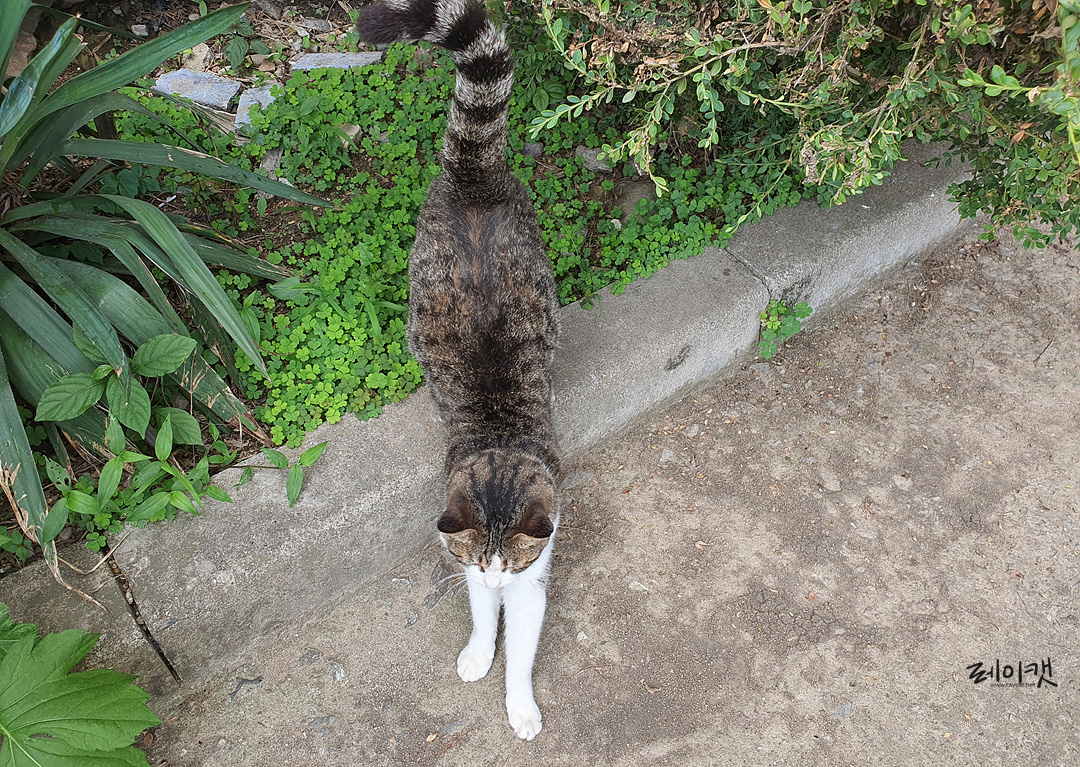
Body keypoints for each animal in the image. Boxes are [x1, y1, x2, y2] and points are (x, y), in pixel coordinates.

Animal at [356, 0, 561, 741]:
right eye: (476, 559)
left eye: (514, 560)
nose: (496, 580)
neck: (499, 439)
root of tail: (474, 175)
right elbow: (479, 618)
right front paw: (477, 652)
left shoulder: (535, 575)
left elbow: (523, 645)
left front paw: (520, 704)